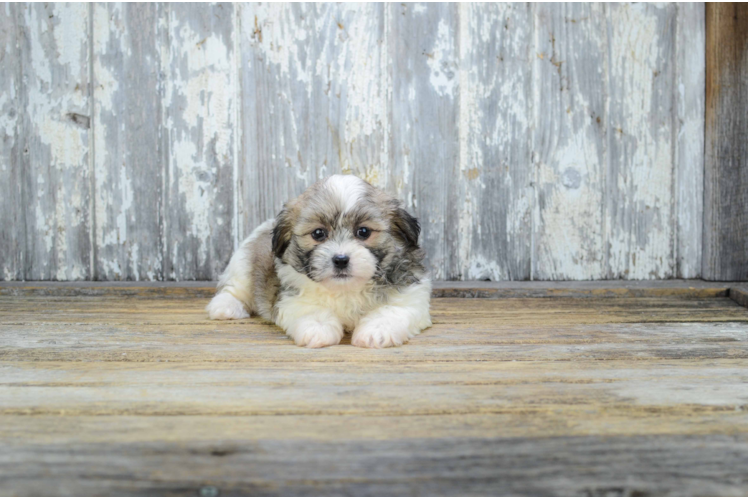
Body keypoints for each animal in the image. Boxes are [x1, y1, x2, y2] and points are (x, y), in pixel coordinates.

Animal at [207, 175, 436, 348]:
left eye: (363, 232)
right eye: (318, 233)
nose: (341, 260)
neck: (347, 289)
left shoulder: (410, 296)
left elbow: (391, 311)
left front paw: (376, 331)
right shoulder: (292, 298)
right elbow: (311, 309)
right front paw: (318, 328)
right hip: (243, 263)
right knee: (235, 288)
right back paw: (225, 307)